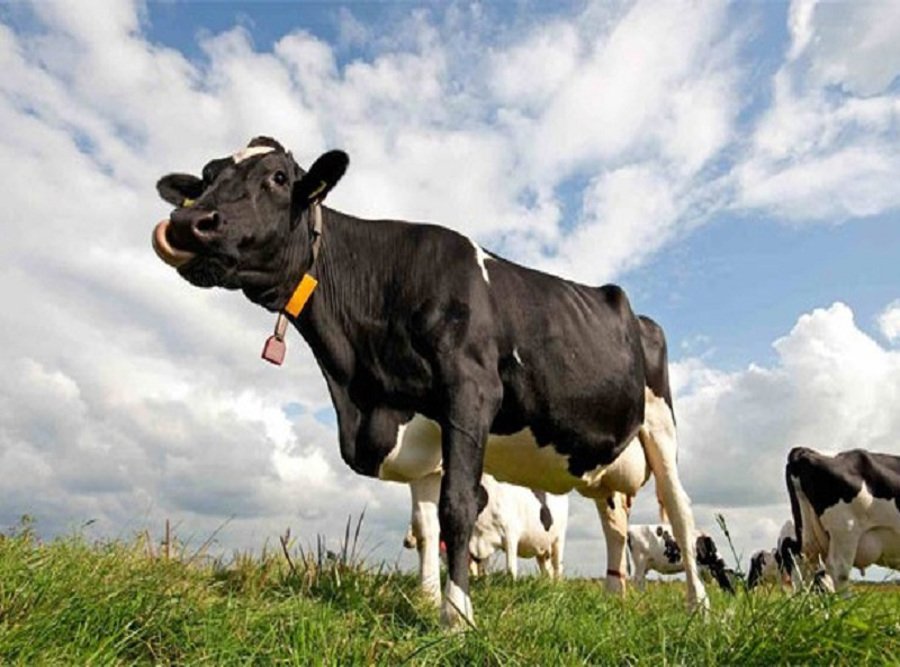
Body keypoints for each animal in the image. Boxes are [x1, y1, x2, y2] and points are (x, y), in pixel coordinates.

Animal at [151, 137, 708, 626]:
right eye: (205, 177)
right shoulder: (420, 433)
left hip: (661, 426)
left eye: (279, 178)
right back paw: (615, 600)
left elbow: (456, 507)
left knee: (681, 512)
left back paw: (698, 607)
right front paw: (425, 598)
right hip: (605, 464)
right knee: (614, 523)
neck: (361, 390)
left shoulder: (470, 393)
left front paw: (456, 615)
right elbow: (425, 527)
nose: (186, 224)